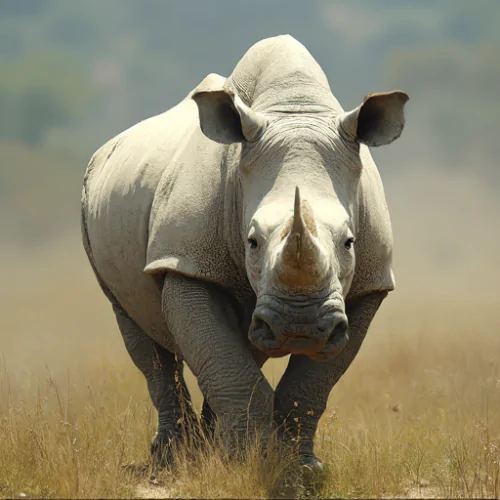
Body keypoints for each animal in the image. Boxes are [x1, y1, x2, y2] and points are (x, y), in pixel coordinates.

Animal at [80, 35, 406, 472]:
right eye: (252, 241)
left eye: (349, 242)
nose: (299, 326)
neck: (294, 108)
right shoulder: (186, 263)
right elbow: (229, 367)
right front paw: (248, 464)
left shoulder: (368, 284)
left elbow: (311, 385)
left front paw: (300, 469)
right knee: (142, 335)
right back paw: (173, 459)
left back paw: (207, 448)